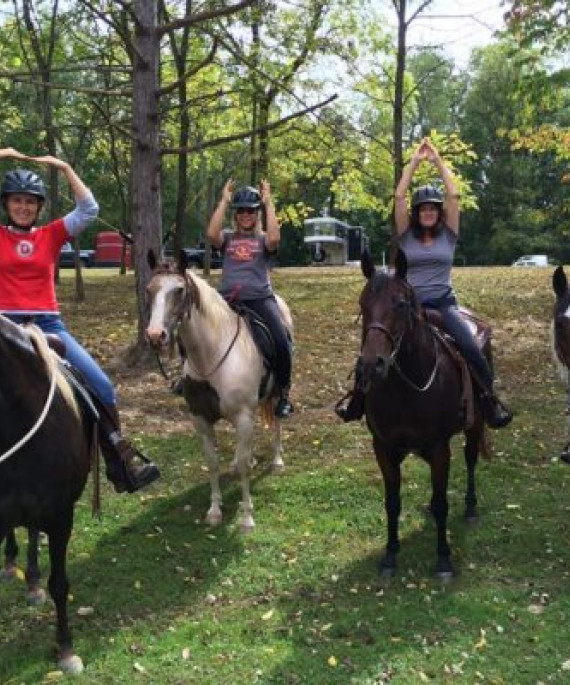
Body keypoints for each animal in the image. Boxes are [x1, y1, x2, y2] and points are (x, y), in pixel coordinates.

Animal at [145, 248, 292, 532]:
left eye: (179, 289)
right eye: (149, 289)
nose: (156, 336)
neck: (211, 356)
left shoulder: (243, 416)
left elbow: (245, 468)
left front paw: (246, 519)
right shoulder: (201, 419)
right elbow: (212, 463)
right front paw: (214, 511)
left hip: (275, 394)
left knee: (277, 421)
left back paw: (277, 460)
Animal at [356, 251, 484, 576]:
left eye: (400, 304)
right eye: (362, 305)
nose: (371, 365)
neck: (407, 388)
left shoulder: (439, 447)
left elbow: (442, 504)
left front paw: (443, 559)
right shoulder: (383, 447)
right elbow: (392, 502)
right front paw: (390, 554)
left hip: (475, 424)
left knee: (471, 458)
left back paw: (471, 507)